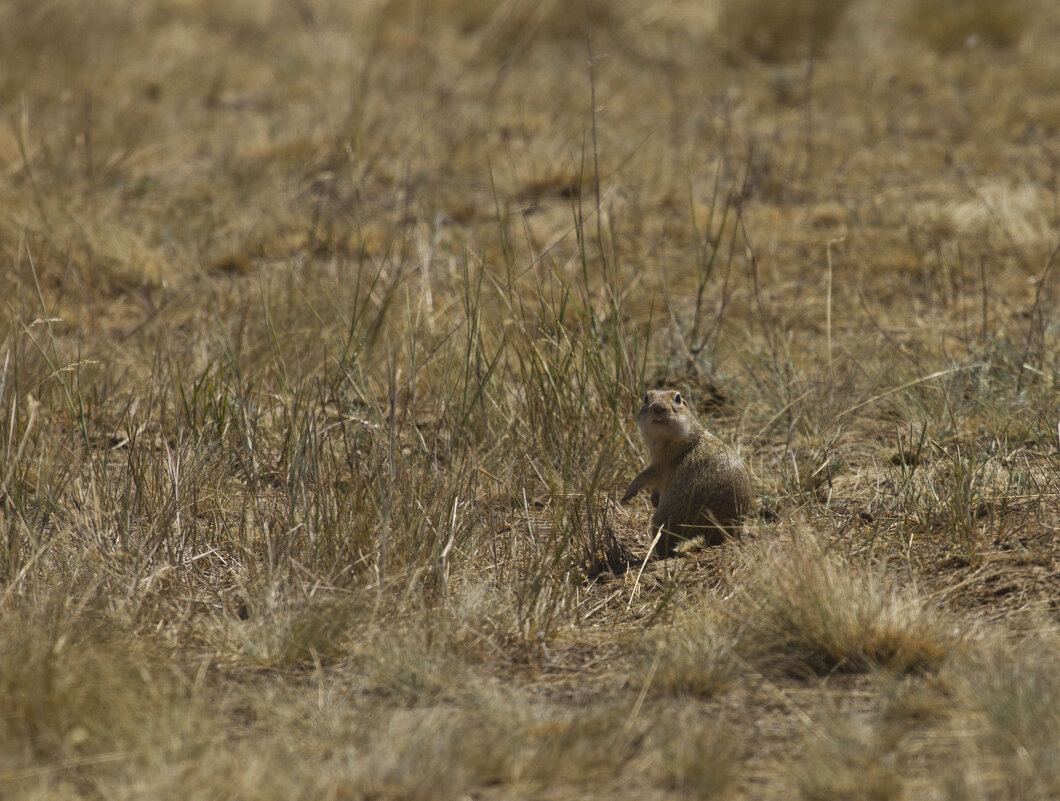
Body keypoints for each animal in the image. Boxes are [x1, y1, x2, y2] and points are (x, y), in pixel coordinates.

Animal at [619, 387, 754, 555]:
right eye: (646, 398)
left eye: (677, 398)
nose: (658, 407)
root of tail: (709, 535)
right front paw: (653, 498)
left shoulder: (662, 465)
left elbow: (646, 475)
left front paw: (628, 493)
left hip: (662, 519)